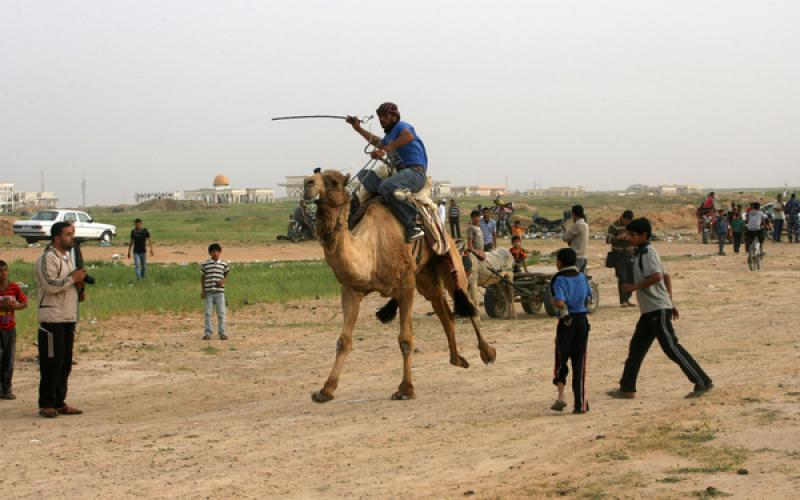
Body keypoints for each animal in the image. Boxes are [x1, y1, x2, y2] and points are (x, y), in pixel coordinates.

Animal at [304, 169, 496, 402]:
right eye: (316, 174)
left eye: (333, 181)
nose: (307, 183)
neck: (371, 249)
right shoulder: (352, 290)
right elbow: (343, 341)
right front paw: (325, 390)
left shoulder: (406, 287)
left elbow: (405, 340)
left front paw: (405, 389)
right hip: (426, 275)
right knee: (444, 311)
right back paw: (457, 359)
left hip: (450, 261)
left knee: (468, 304)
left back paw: (487, 352)